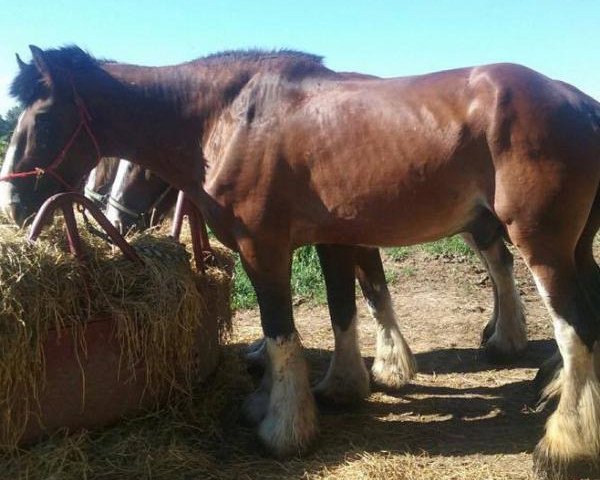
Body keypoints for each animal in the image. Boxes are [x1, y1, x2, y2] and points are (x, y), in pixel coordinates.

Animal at [4, 45, 600, 476]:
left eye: (43, 118)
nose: (12, 202)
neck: (229, 121)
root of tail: (581, 104)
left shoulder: (263, 250)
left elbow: (282, 333)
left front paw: (284, 429)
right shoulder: (333, 239)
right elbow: (342, 312)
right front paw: (340, 388)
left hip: (542, 245)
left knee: (575, 333)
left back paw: (566, 444)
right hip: (572, 246)